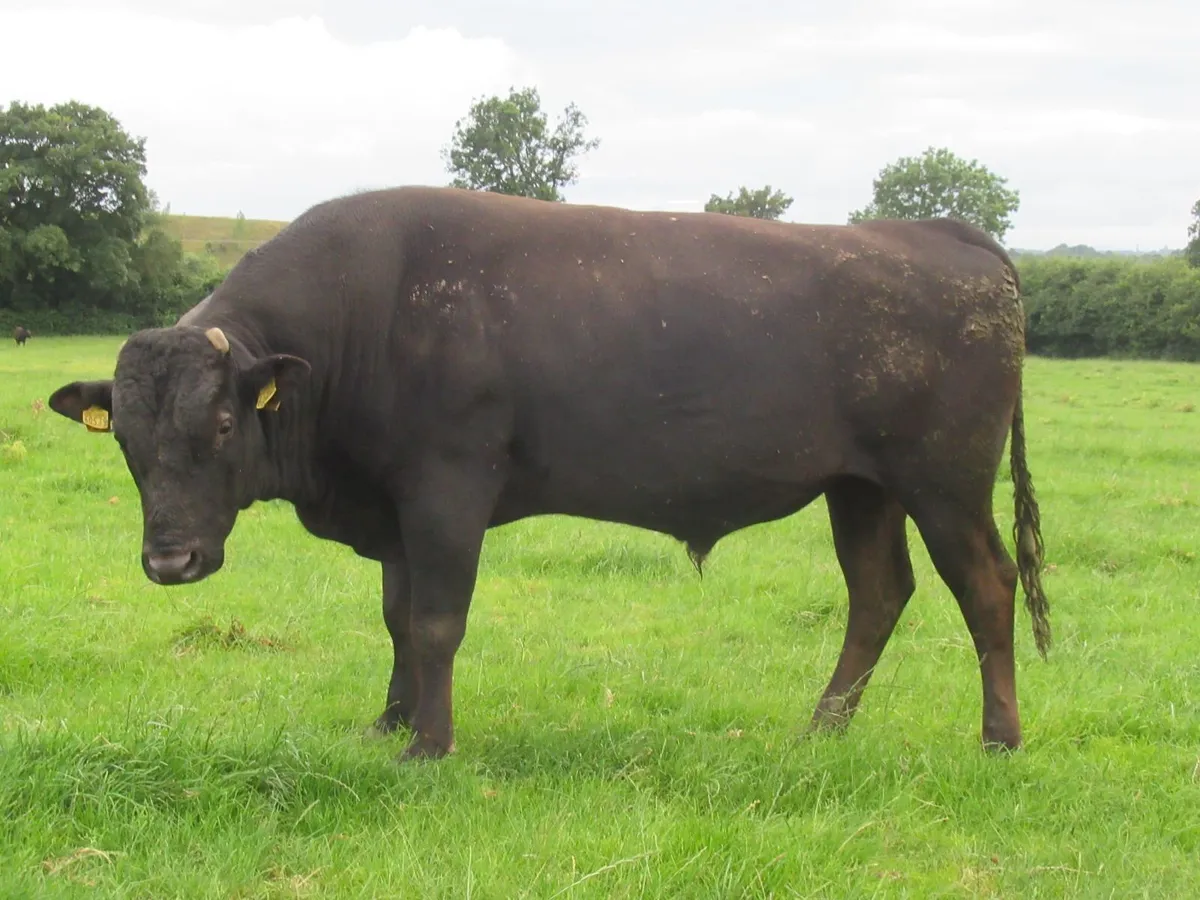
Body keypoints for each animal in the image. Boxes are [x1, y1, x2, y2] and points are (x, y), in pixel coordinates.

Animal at [47, 185, 1050, 761]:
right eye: (126, 442)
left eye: (221, 423)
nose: (170, 562)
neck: (360, 317)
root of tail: (942, 234)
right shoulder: (397, 509)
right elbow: (399, 620)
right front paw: (390, 723)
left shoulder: (447, 490)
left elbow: (438, 623)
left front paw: (430, 746)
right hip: (862, 487)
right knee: (878, 593)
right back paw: (822, 730)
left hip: (944, 482)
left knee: (985, 585)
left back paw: (999, 737)